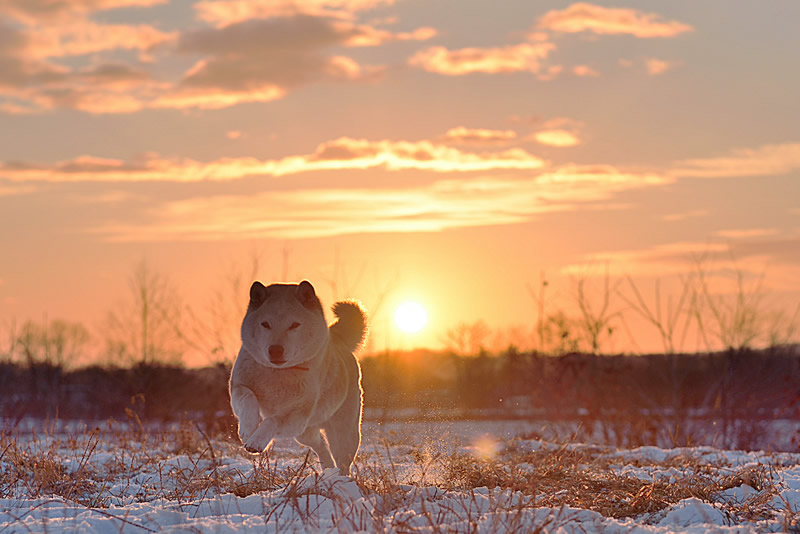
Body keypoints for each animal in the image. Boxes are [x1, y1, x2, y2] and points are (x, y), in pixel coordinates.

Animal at [227, 280, 368, 478]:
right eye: (265, 324)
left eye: (294, 325)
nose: (275, 350)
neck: (279, 373)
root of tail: (336, 338)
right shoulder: (239, 387)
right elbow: (249, 398)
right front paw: (247, 431)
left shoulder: (297, 415)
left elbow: (273, 420)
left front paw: (256, 441)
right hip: (305, 434)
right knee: (320, 445)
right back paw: (328, 470)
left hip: (343, 432)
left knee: (343, 460)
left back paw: (340, 478)